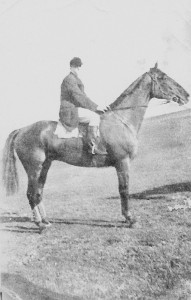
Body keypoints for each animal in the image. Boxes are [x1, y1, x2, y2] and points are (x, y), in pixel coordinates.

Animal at [1, 64, 190, 231]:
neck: (121, 120)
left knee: (39, 192)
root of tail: (22, 130)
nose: (186, 95)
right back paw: (39, 225)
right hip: (33, 168)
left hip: (45, 166)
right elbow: (124, 190)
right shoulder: (122, 162)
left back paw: (46, 221)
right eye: (163, 77)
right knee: (31, 194)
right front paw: (130, 219)